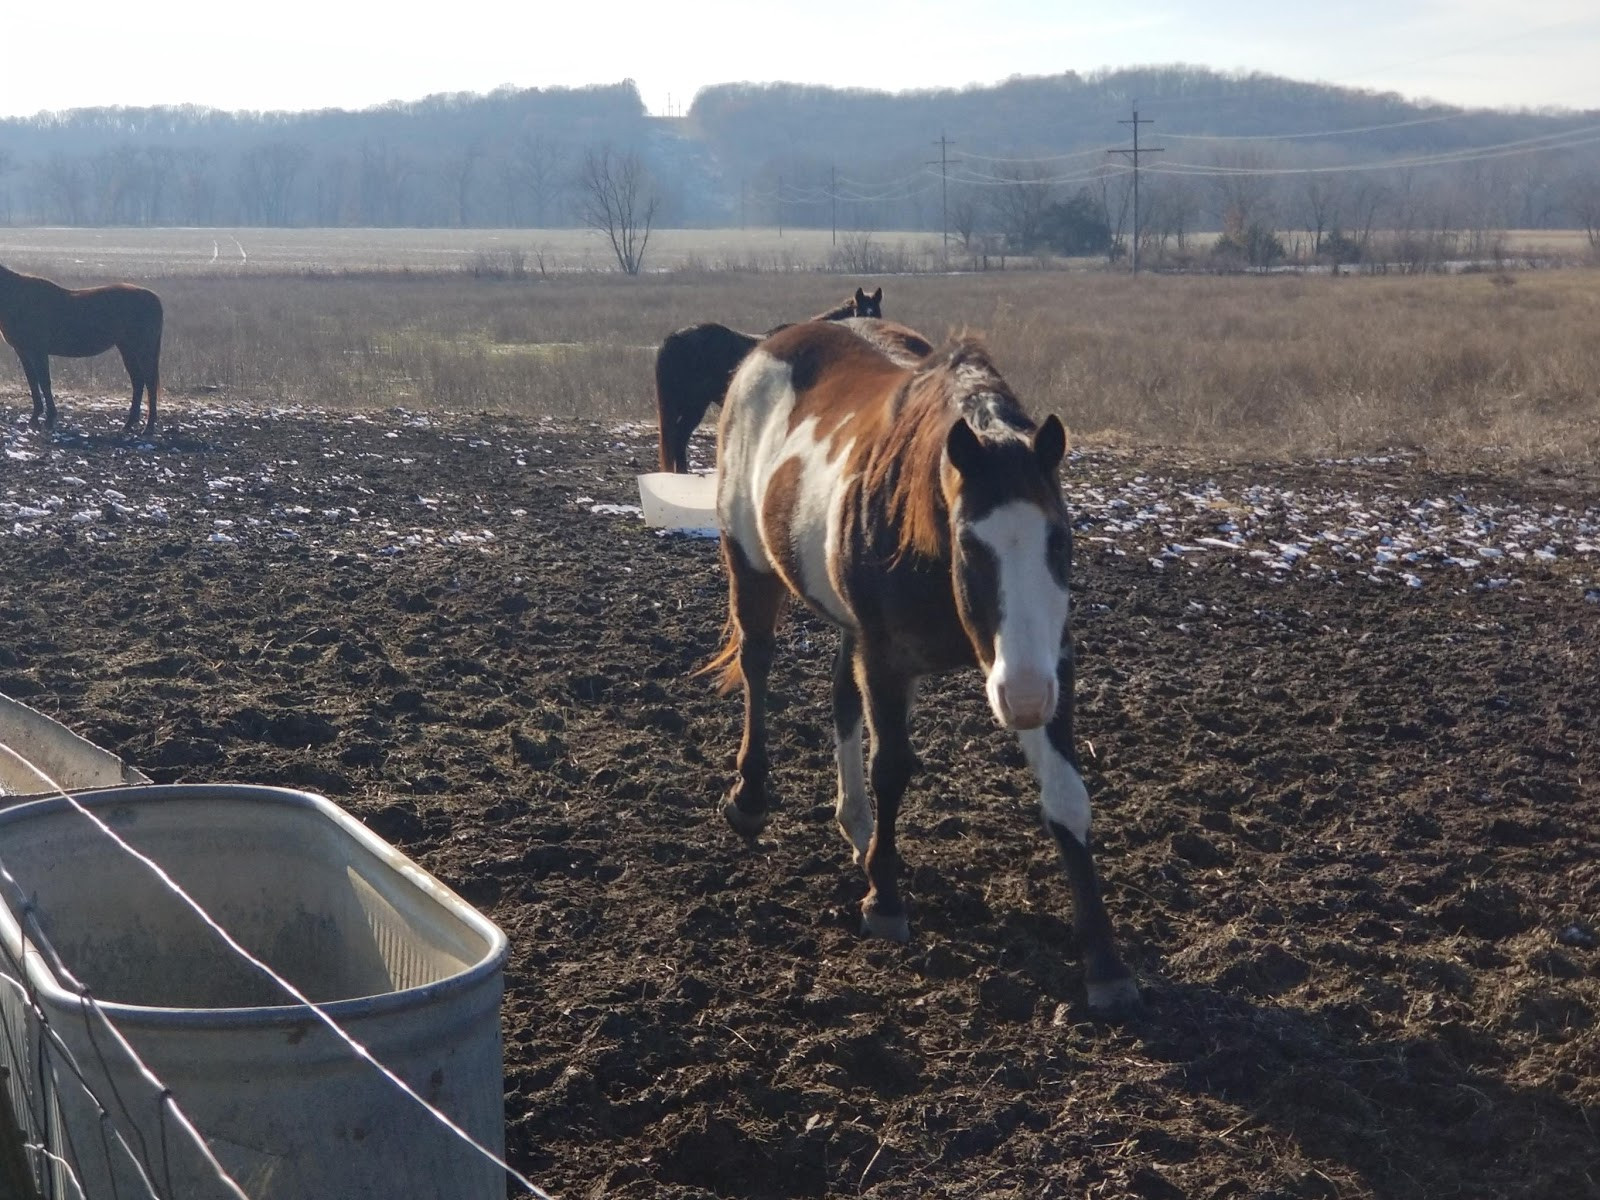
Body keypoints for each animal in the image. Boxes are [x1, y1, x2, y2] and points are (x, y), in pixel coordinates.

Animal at [0, 264, 164, 438]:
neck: (17, 296)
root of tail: (153, 298)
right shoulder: (23, 352)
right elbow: (32, 382)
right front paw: (35, 418)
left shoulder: (38, 351)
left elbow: (44, 382)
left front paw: (49, 419)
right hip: (127, 350)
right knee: (138, 382)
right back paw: (128, 424)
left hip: (143, 350)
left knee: (150, 383)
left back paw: (148, 427)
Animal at [704, 321, 1139, 1017]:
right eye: (970, 543)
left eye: (1061, 540)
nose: (1021, 699)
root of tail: (769, 345)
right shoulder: (888, 658)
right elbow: (892, 768)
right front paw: (884, 899)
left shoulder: (1049, 665)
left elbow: (1068, 799)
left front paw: (1105, 962)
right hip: (748, 560)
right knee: (757, 662)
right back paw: (750, 798)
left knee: (840, 699)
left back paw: (856, 827)